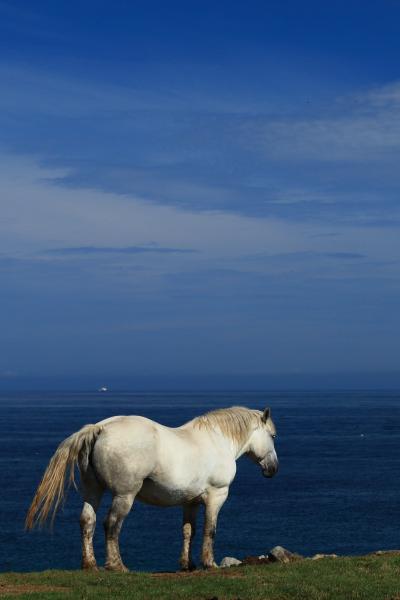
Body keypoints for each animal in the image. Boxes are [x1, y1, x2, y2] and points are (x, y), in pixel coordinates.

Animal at [25, 406, 278, 568]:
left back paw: (90, 564)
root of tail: (100, 428)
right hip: (124, 495)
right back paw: (116, 565)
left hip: (93, 491)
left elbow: (189, 531)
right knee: (111, 524)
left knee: (87, 520)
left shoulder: (190, 502)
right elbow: (210, 529)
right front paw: (209, 563)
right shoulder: (217, 495)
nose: (273, 468)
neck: (217, 441)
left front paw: (187, 564)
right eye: (273, 436)